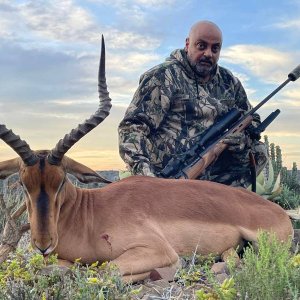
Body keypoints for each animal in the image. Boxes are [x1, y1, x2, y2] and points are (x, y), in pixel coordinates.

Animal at [0, 36, 292, 282]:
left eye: (61, 182)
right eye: (24, 184)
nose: (43, 245)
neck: (90, 215)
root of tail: (279, 212)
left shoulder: (157, 250)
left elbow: (106, 270)